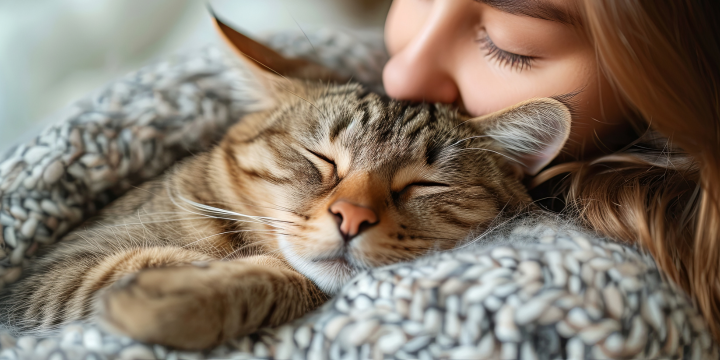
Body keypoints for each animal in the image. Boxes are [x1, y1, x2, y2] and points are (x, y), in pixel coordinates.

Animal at [1, 18, 572, 350]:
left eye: (424, 185)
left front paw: (184, 298)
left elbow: (288, 277)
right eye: (322, 159)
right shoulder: (44, 279)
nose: (352, 218)